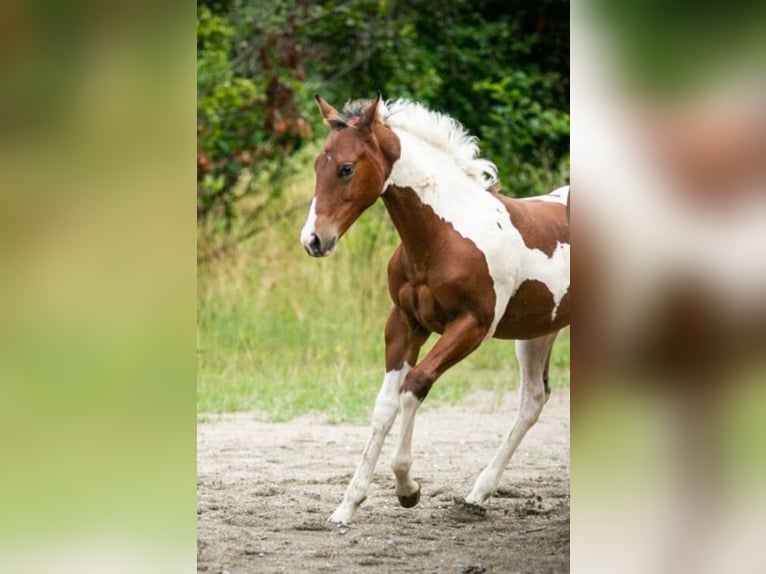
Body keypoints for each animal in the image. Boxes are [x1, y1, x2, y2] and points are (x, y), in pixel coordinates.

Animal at [300, 95, 568, 528]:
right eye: (316, 165)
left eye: (346, 168)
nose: (313, 240)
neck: (445, 234)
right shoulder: (405, 324)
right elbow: (384, 406)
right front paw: (347, 506)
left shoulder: (471, 326)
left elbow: (416, 385)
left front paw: (408, 488)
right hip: (539, 331)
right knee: (532, 400)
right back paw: (478, 494)